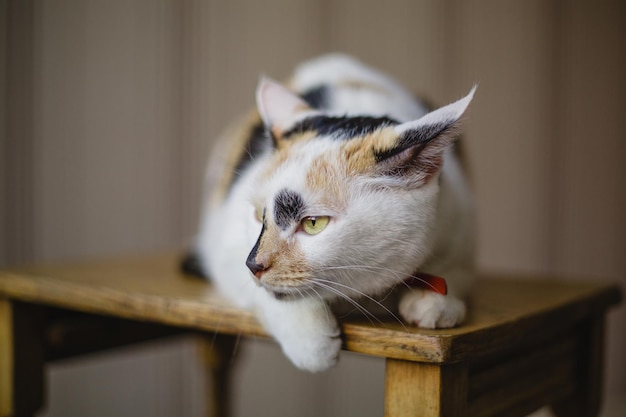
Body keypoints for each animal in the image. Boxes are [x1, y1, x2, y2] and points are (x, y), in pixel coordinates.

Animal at [188, 54, 476, 370]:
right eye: (257, 216)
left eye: (313, 223)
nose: (253, 265)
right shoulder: (223, 245)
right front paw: (311, 340)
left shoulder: (461, 224)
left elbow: (460, 271)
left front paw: (436, 302)